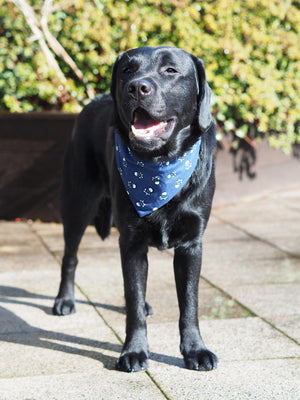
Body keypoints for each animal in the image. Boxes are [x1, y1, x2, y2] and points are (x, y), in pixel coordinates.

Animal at [53, 46, 218, 372]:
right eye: (127, 70)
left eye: (170, 70)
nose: (137, 87)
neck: (159, 166)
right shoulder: (131, 242)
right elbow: (133, 302)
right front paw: (134, 351)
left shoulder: (192, 245)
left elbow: (189, 304)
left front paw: (195, 350)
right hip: (78, 203)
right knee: (70, 257)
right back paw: (64, 300)